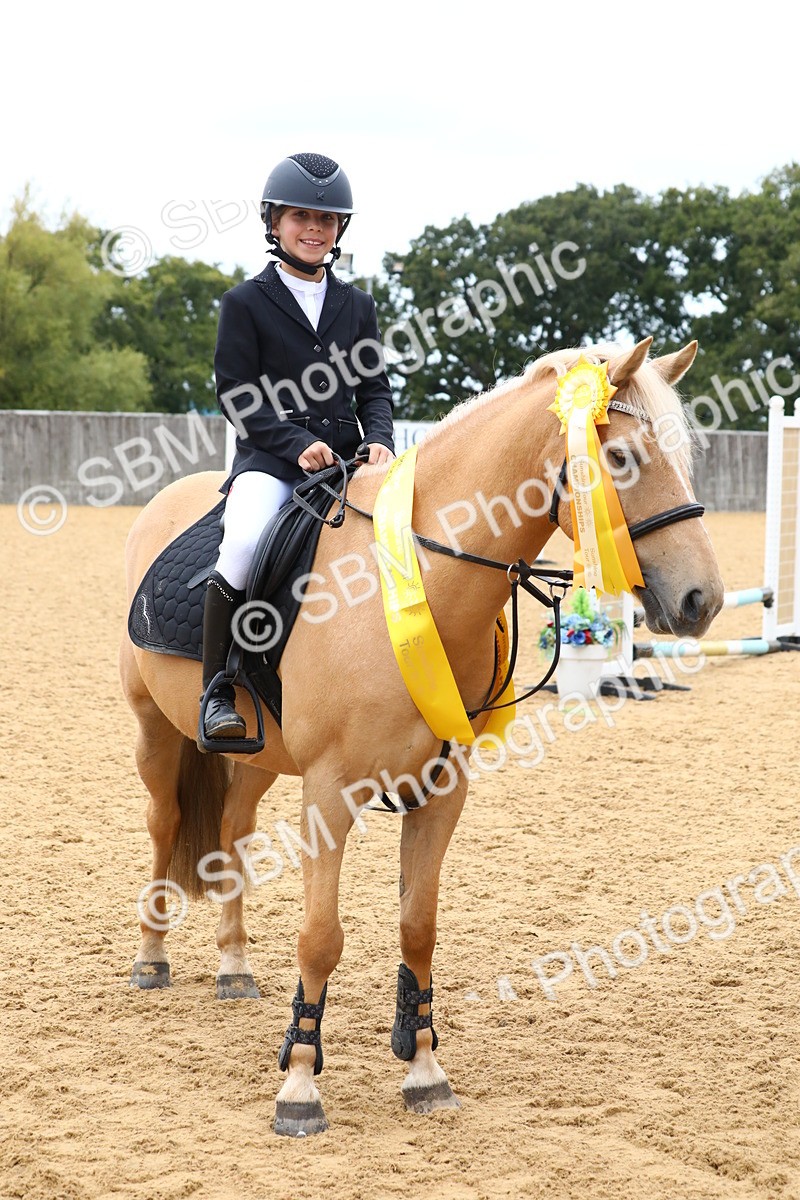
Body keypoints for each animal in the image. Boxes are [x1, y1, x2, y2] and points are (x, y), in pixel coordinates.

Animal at [119, 336, 724, 1136]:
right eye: (620, 458)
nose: (702, 600)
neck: (421, 581)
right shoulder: (328, 792)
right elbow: (322, 937)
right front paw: (300, 1084)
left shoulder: (442, 790)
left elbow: (418, 928)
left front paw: (425, 1071)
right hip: (155, 729)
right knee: (163, 825)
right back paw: (152, 956)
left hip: (255, 758)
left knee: (230, 830)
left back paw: (234, 965)